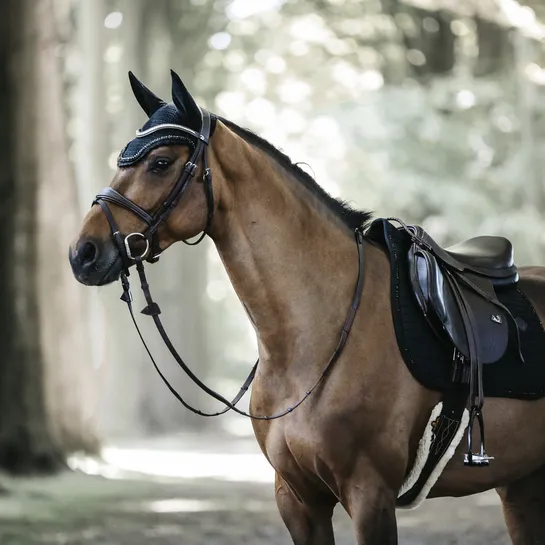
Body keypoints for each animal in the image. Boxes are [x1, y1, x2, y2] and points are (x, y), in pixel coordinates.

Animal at [69, 72, 545, 544]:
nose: (83, 254)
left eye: (161, 162)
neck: (315, 336)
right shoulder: (297, 499)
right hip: (520, 486)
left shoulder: (370, 496)